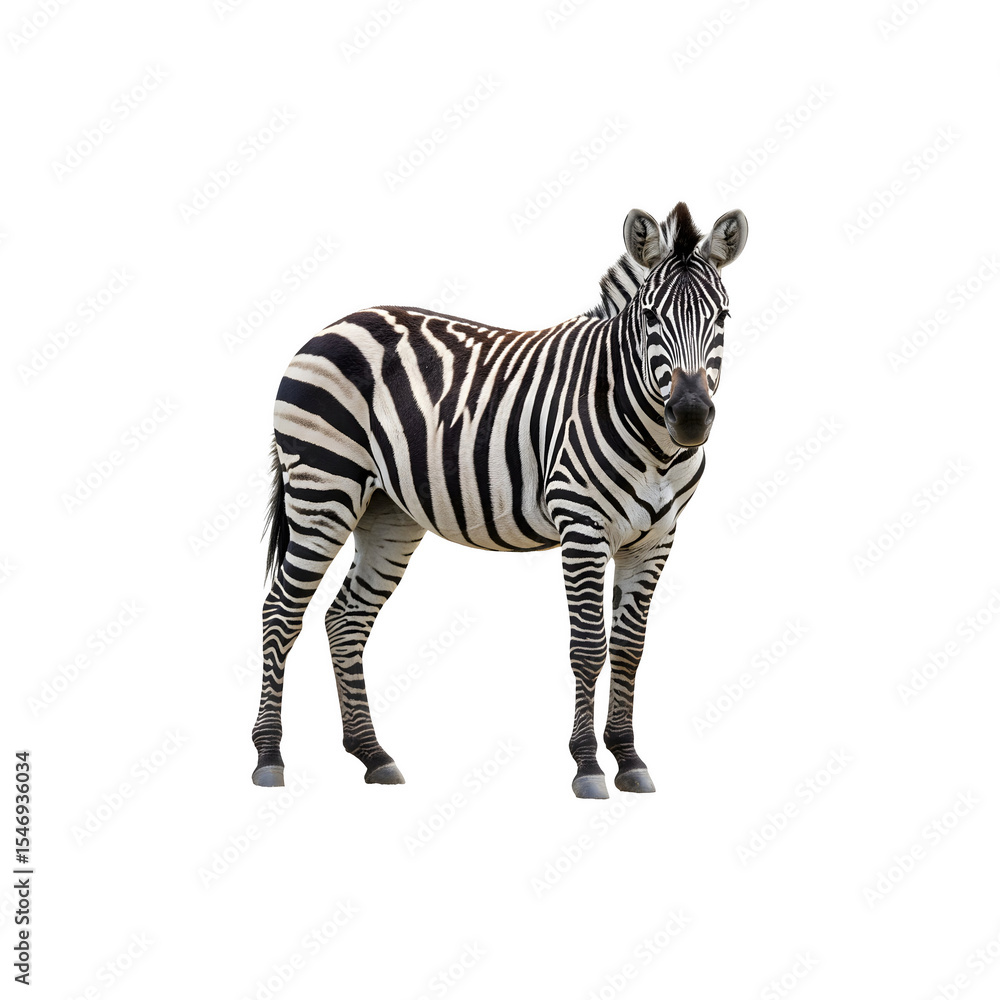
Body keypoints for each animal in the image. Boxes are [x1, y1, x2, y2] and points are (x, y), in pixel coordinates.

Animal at [252, 201, 748, 798]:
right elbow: (589, 646)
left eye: (723, 318)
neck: (656, 443)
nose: (691, 416)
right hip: (323, 487)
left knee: (345, 619)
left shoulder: (656, 537)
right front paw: (587, 766)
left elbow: (630, 648)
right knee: (281, 611)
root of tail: (333, 325)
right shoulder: (582, 526)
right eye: (650, 317)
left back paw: (373, 755)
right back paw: (269, 756)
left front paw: (629, 758)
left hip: (387, 512)